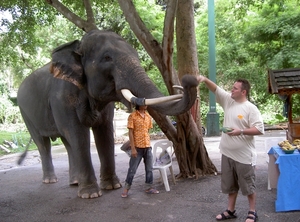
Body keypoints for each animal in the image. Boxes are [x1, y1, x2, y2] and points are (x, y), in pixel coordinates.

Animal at [17, 28, 199, 199]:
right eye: (107, 58)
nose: (189, 80)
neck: (77, 46)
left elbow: (104, 134)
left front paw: (112, 186)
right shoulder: (63, 98)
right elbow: (78, 134)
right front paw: (90, 195)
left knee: (66, 143)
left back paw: (74, 182)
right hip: (25, 113)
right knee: (44, 143)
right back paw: (50, 180)